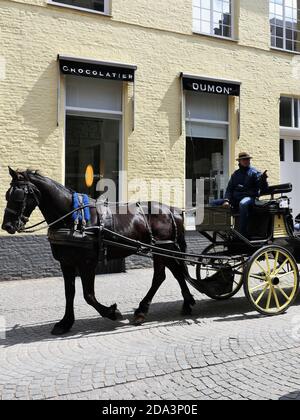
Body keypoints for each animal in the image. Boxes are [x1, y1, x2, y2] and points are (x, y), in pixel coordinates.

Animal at [1, 167, 196, 334]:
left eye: (18, 195)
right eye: (7, 195)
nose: (7, 226)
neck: (72, 219)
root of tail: (173, 210)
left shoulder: (87, 263)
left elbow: (88, 295)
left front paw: (112, 312)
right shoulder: (66, 263)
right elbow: (69, 293)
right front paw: (65, 323)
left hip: (162, 249)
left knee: (160, 276)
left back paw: (143, 310)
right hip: (164, 250)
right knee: (176, 272)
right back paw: (186, 303)